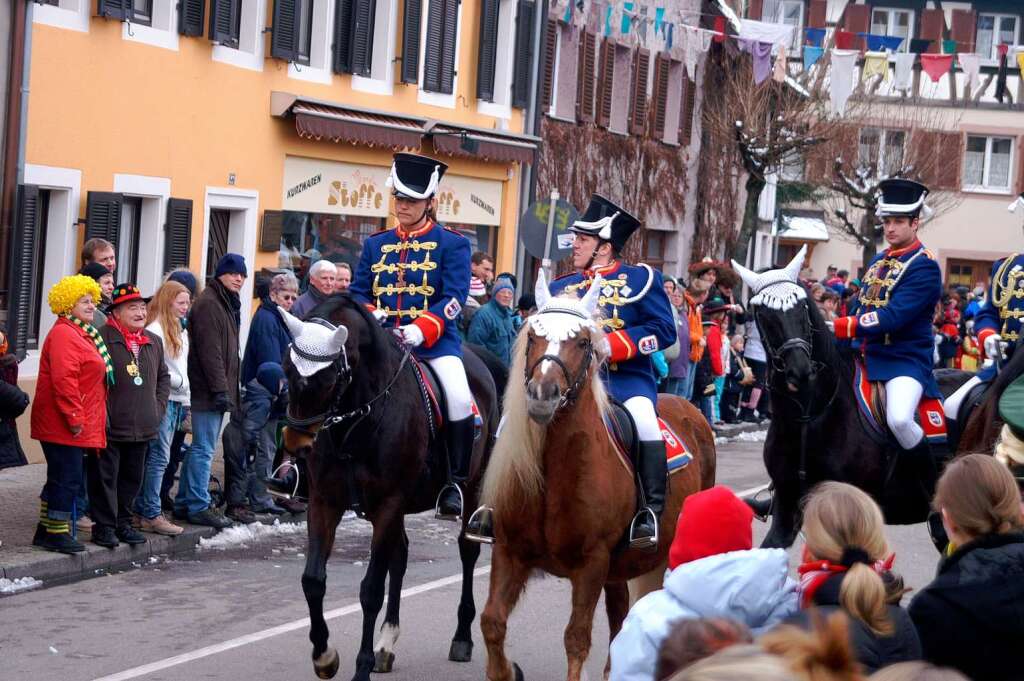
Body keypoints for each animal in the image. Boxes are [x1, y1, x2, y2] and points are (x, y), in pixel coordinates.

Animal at [278, 296, 501, 679]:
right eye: (288, 370)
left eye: (328, 379)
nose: (296, 443)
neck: (358, 421)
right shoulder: (324, 502)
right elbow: (313, 580)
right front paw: (325, 656)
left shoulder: (388, 504)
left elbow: (370, 590)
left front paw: (361, 667)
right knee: (401, 556)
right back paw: (387, 642)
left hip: (470, 492)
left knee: (467, 552)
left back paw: (461, 637)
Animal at [477, 274, 712, 675]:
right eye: (533, 335)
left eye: (583, 341)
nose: (542, 394)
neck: (554, 468)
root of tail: (689, 406)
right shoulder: (510, 551)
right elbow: (492, 621)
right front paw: (506, 671)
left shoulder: (592, 563)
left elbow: (576, 638)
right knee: (620, 618)